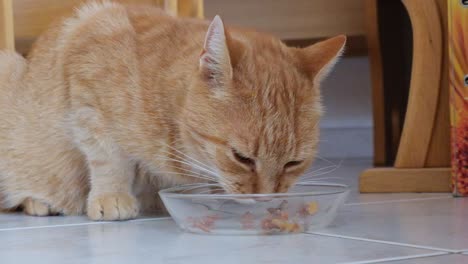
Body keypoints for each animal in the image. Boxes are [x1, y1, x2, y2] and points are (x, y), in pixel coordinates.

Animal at [0, 1, 344, 221]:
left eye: (293, 163)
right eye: (242, 157)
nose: (265, 199)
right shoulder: (88, 81)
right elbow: (108, 159)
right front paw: (113, 196)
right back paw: (37, 202)